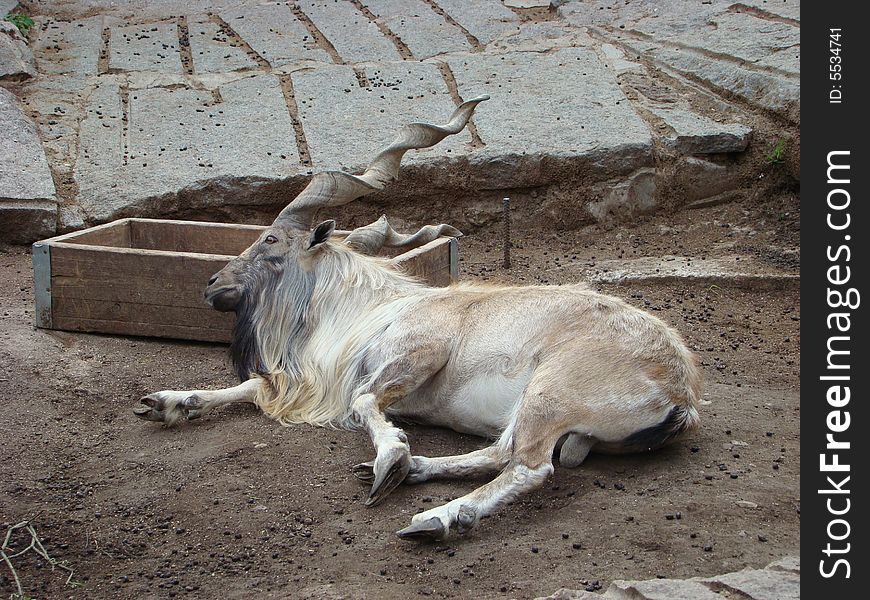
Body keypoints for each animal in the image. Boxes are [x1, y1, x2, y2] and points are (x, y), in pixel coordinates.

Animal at [138, 97, 708, 540]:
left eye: (271, 240)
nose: (212, 284)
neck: (373, 313)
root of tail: (681, 392)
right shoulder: (321, 379)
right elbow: (255, 386)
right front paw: (167, 402)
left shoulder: (415, 353)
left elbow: (363, 402)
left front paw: (391, 456)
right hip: (534, 409)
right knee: (498, 452)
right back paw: (417, 473)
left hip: (552, 392)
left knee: (528, 466)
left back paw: (436, 516)